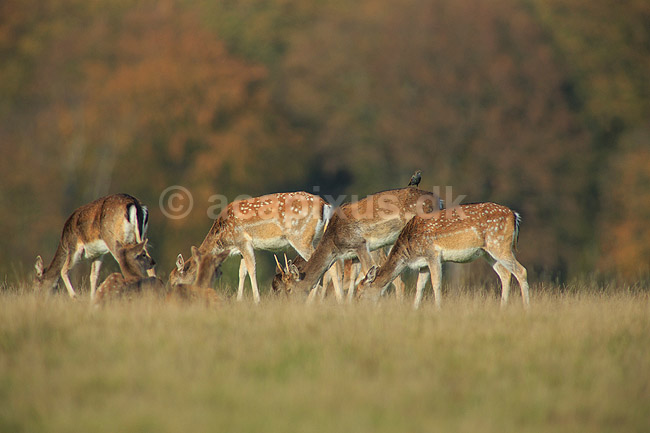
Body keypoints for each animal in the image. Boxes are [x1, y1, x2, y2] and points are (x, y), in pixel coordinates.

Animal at [169, 191, 334, 304]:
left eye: (174, 281)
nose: (170, 294)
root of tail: (325, 205)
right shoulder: (241, 248)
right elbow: (242, 272)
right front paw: (239, 300)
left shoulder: (243, 241)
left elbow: (251, 269)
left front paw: (257, 300)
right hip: (315, 238)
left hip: (300, 237)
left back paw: (312, 300)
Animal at [273, 187, 442, 301]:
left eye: (288, 289)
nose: (289, 305)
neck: (334, 244)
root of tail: (439, 200)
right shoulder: (351, 254)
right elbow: (354, 278)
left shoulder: (360, 244)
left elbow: (368, 271)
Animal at [355, 202, 530, 309]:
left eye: (361, 292)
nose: (359, 308)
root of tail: (514, 215)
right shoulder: (423, 263)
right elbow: (420, 286)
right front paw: (414, 309)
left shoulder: (432, 254)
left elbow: (436, 283)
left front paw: (438, 308)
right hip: (488, 252)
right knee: (505, 273)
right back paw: (502, 307)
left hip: (500, 244)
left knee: (521, 270)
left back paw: (526, 308)